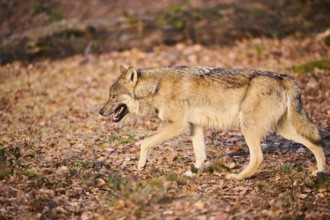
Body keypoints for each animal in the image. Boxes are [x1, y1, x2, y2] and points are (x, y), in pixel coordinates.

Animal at [99, 65, 326, 179]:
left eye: (112, 96)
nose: (101, 111)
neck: (155, 87)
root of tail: (283, 78)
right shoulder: (195, 126)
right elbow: (200, 154)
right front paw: (193, 173)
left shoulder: (177, 125)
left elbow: (144, 142)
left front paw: (141, 165)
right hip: (284, 129)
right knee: (317, 144)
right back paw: (320, 172)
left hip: (248, 128)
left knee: (258, 157)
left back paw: (238, 177)